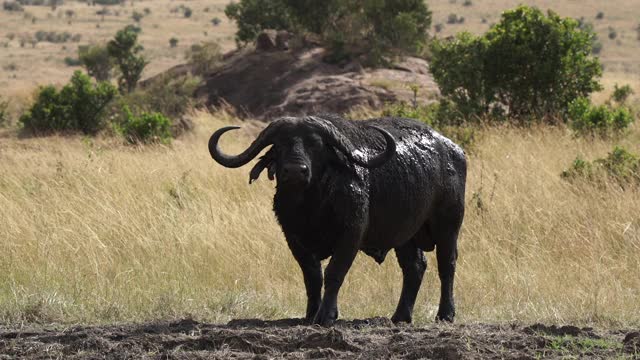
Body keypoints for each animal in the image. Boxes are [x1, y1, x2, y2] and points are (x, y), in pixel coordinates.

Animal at [209, 115, 464, 326]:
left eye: (315, 144)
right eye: (279, 145)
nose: (295, 171)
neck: (311, 207)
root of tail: (454, 151)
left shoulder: (350, 235)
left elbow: (334, 273)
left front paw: (326, 315)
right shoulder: (293, 238)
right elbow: (312, 276)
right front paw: (311, 313)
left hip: (448, 225)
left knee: (447, 265)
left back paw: (445, 314)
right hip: (405, 235)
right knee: (414, 267)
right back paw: (400, 316)